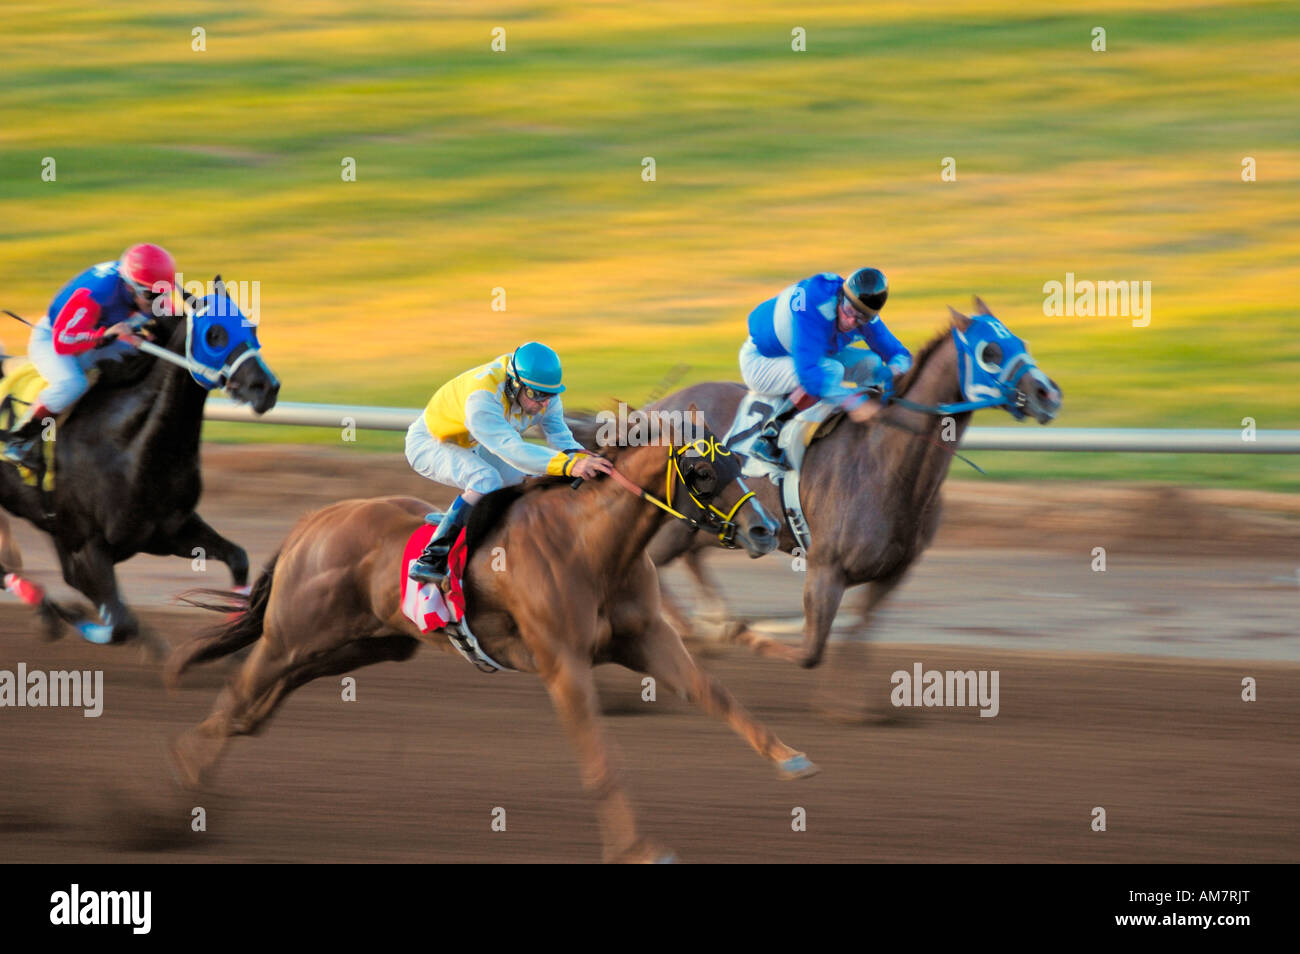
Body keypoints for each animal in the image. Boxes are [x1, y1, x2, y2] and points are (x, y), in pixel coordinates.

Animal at [162, 410, 811, 868]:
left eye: (740, 465)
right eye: (702, 473)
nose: (764, 530)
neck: (593, 545)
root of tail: (312, 521)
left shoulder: (646, 639)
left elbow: (714, 694)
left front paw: (790, 758)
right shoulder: (563, 664)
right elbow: (602, 759)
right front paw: (639, 849)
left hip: (364, 643)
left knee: (254, 709)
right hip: (293, 634)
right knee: (238, 694)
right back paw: (179, 790)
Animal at [634, 302, 1060, 691]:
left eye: (1020, 341)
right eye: (990, 351)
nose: (1049, 393)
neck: (885, 461)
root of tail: (653, 408)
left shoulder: (893, 571)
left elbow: (857, 636)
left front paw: (855, 709)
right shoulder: (826, 567)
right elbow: (810, 651)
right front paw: (735, 633)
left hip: (707, 529)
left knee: (689, 560)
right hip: (674, 529)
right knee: (653, 569)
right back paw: (695, 635)